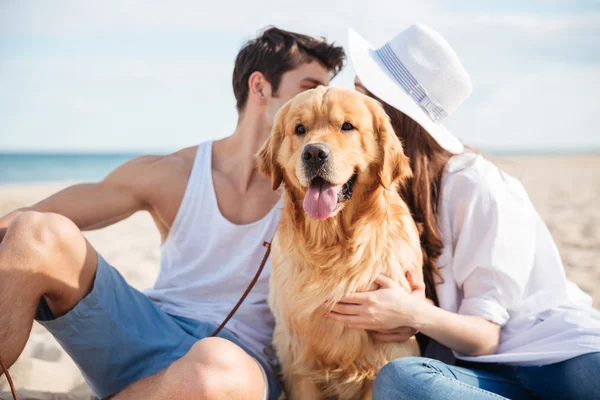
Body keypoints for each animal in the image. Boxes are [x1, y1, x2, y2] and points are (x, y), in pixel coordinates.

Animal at [256, 86, 422, 398]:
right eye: (299, 129)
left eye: (347, 126)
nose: (314, 153)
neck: (332, 244)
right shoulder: (299, 364)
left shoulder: (385, 354)